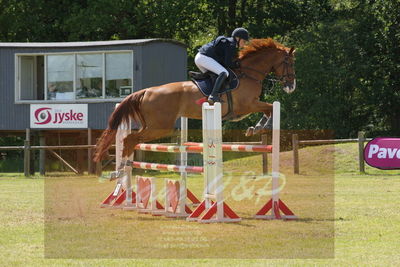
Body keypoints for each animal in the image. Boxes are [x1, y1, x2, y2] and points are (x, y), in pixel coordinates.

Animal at [93, 38, 294, 162]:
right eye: (289, 63)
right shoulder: (248, 105)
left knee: (131, 139)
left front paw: (256, 128)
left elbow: (268, 109)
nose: (291, 87)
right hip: (161, 126)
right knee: (131, 138)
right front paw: (261, 127)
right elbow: (270, 108)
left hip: (152, 125)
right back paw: (123, 167)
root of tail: (146, 91)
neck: (249, 74)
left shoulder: (249, 106)